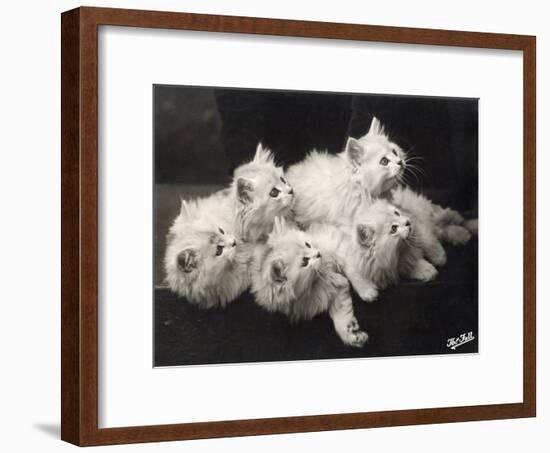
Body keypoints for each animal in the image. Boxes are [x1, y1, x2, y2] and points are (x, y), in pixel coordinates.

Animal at [252, 217, 368, 348]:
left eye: (308, 244)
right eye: (305, 261)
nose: (318, 253)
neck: (313, 281)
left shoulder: (333, 241)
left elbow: (352, 268)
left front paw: (367, 289)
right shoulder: (331, 290)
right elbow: (341, 316)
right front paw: (350, 333)